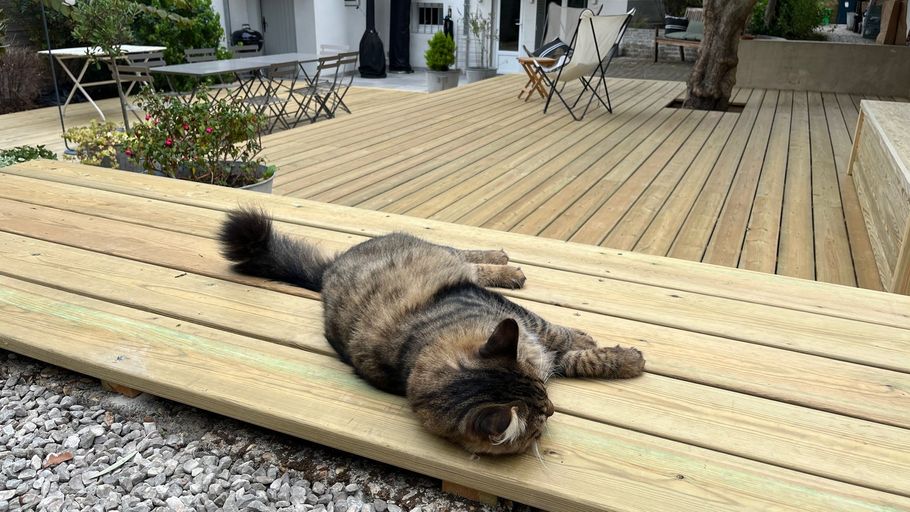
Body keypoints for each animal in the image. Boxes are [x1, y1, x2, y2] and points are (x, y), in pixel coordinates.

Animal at [221, 208, 648, 456]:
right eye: (542, 414)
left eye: (546, 401)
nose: (554, 409)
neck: (418, 345)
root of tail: (329, 268)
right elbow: (571, 354)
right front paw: (625, 359)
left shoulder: (518, 317)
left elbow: (559, 337)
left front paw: (601, 347)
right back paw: (507, 266)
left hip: (445, 257)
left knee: (467, 256)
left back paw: (504, 261)